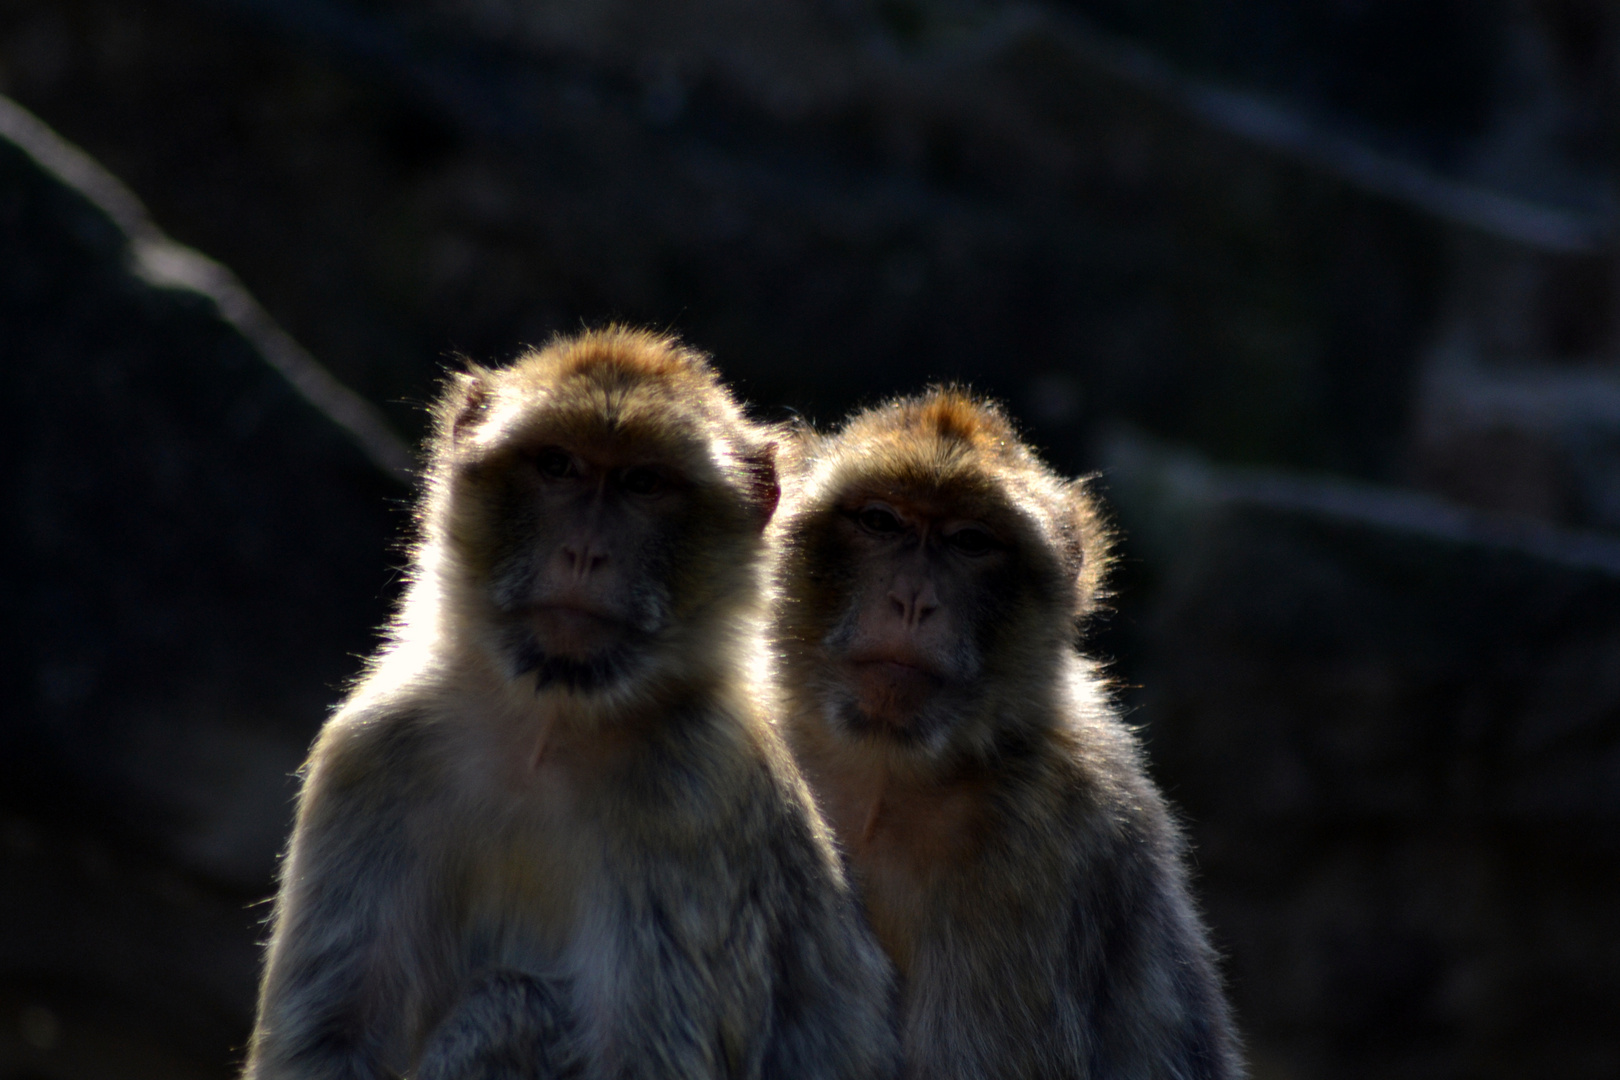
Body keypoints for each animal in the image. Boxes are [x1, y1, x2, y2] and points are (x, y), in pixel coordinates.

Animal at [243, 330, 900, 1080]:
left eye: (644, 483)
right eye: (558, 466)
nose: (584, 553)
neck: (549, 725)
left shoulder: (696, 794)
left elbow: (645, 1055)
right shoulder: (375, 749)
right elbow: (328, 1037)